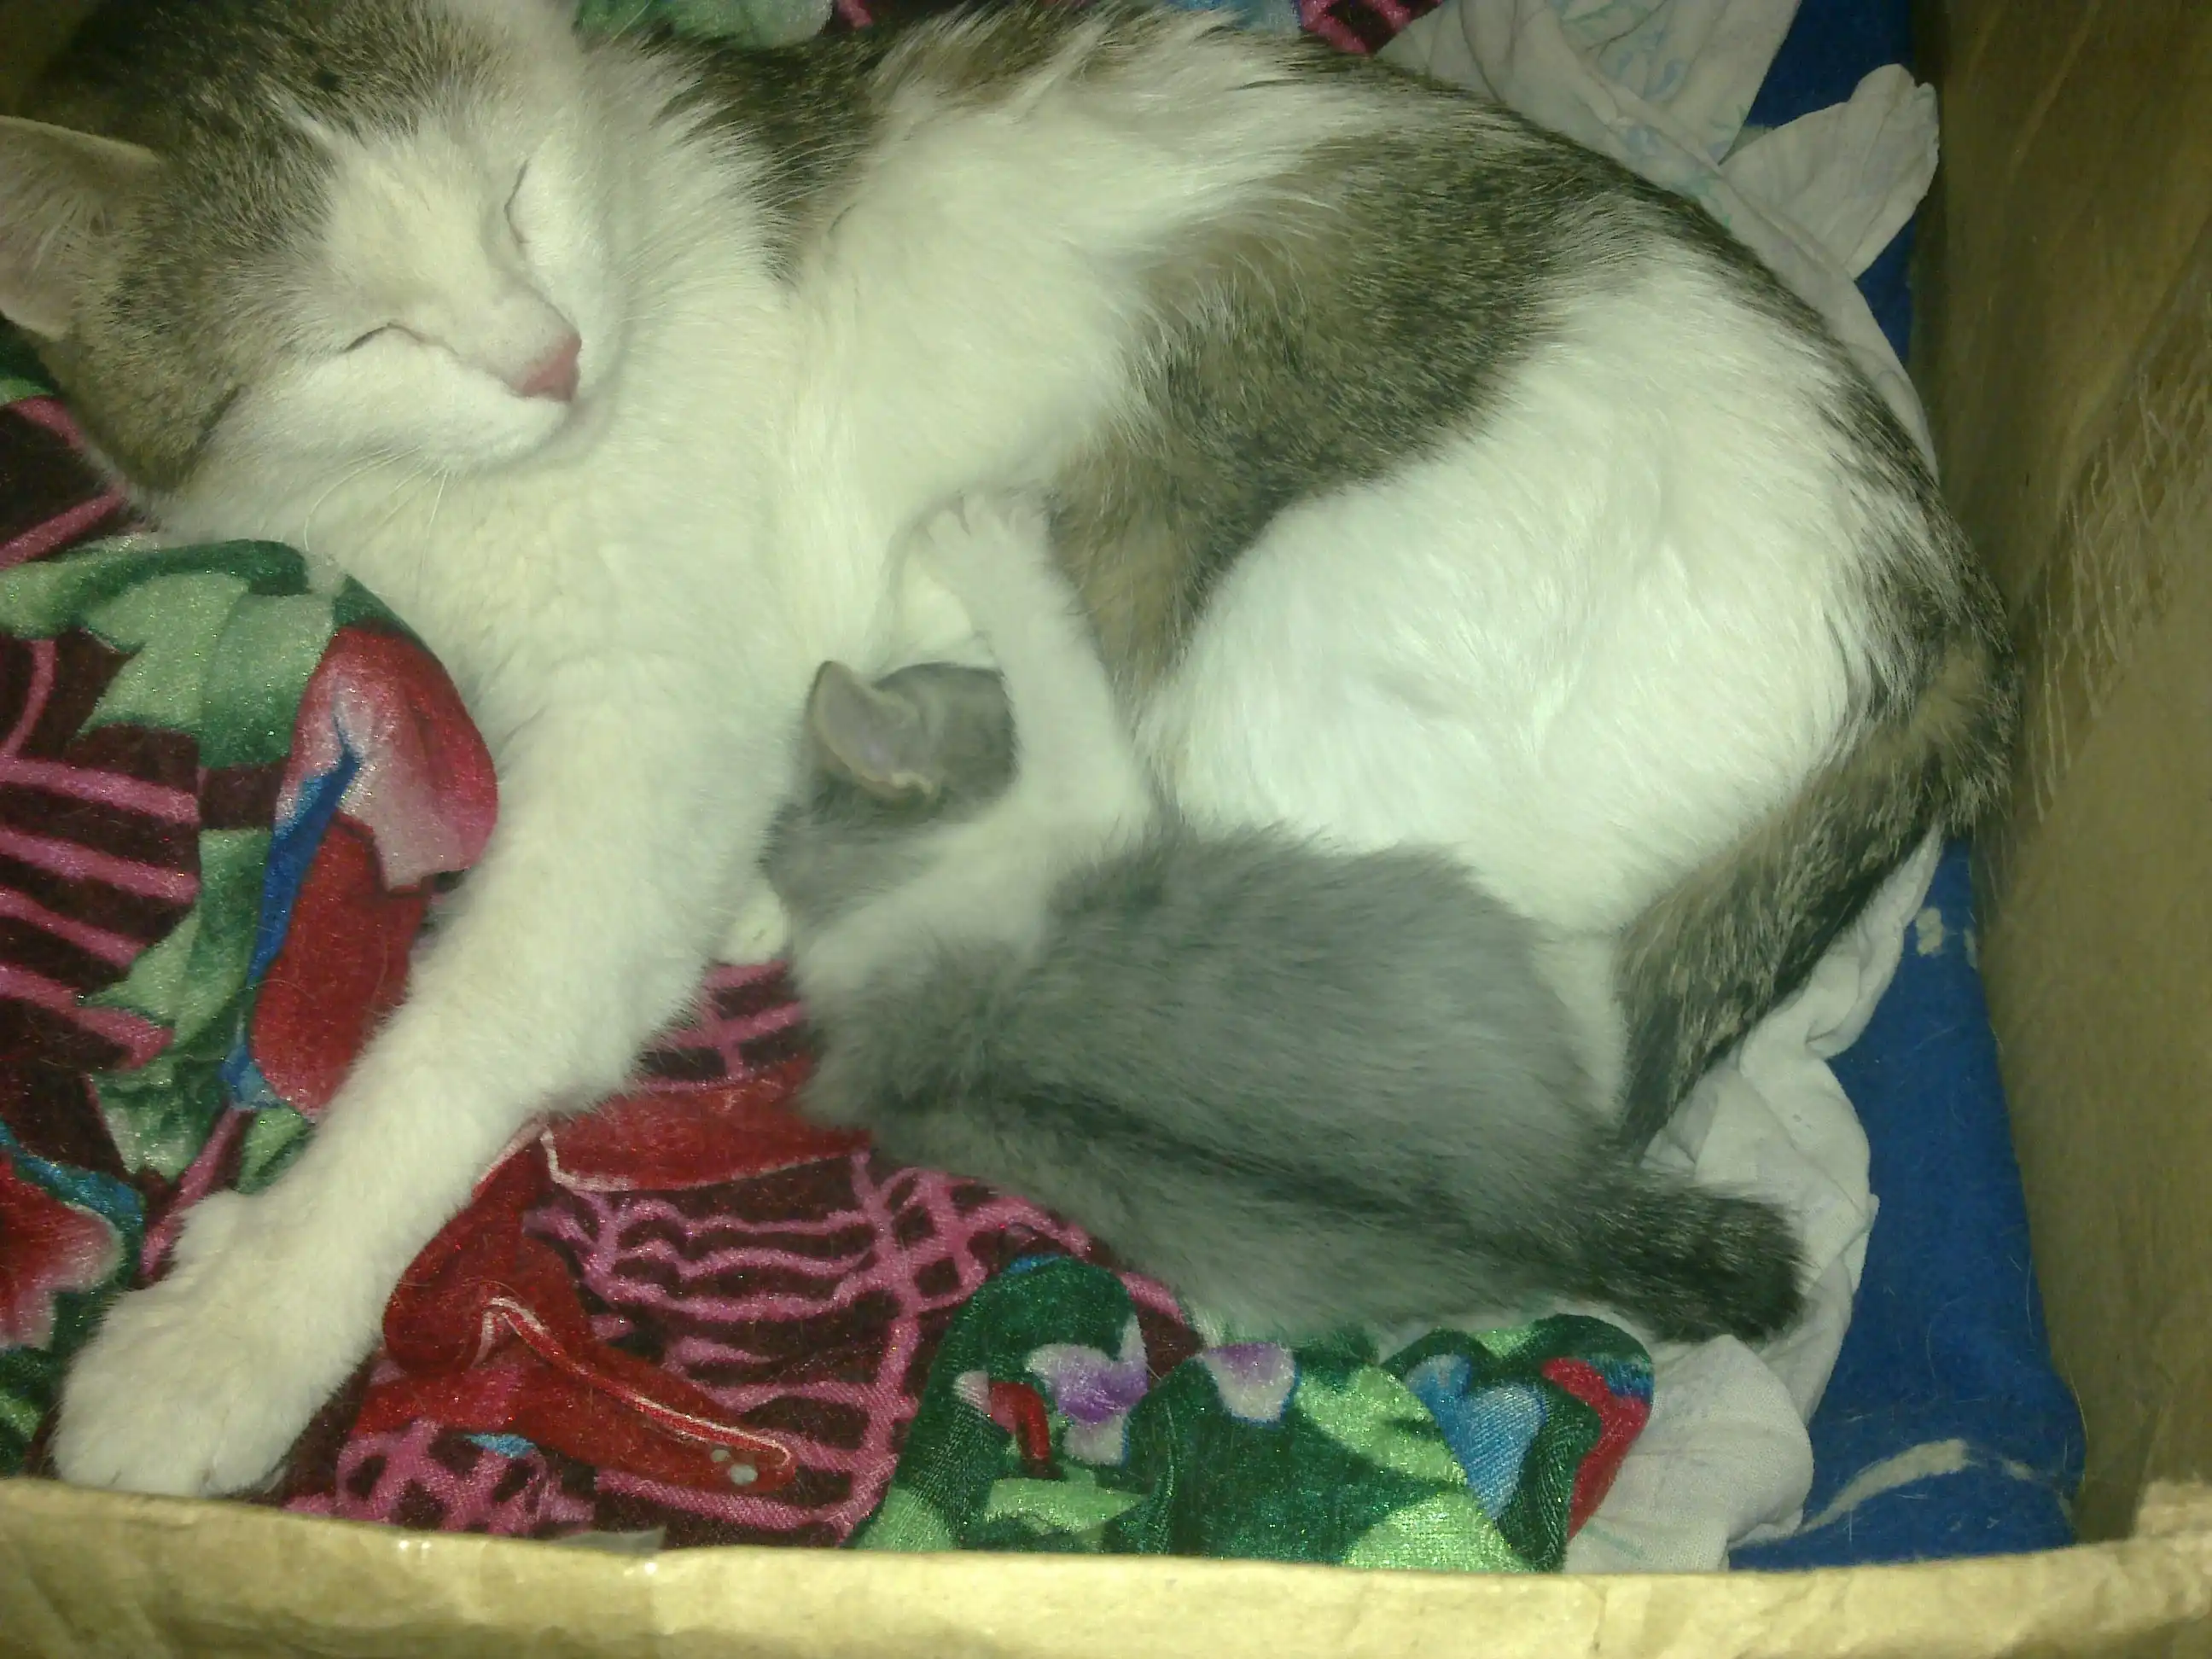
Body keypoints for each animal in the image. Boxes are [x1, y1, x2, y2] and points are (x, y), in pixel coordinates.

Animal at [766, 495, 1806, 1344]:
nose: (973, 657)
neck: (876, 895)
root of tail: (1535, 1201)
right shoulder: (1085, 804)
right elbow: (1064, 692)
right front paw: (991, 557)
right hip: (1460, 915)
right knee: (1610, 1030)